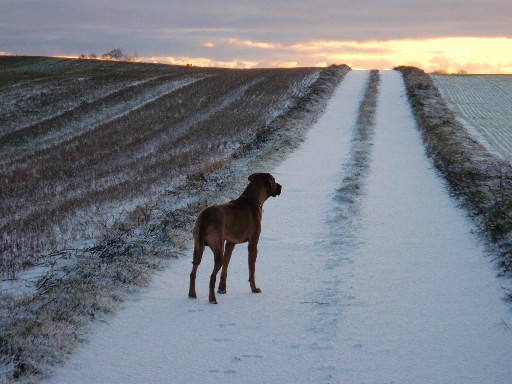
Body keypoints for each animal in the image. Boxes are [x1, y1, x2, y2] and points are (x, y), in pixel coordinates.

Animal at [188, 173, 282, 304]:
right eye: (274, 180)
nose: (281, 186)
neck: (252, 200)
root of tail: (206, 216)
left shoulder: (230, 243)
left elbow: (226, 266)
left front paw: (222, 288)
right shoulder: (253, 244)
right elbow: (252, 270)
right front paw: (254, 288)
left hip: (198, 246)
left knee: (193, 272)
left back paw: (192, 294)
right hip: (218, 249)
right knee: (212, 276)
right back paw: (212, 299)